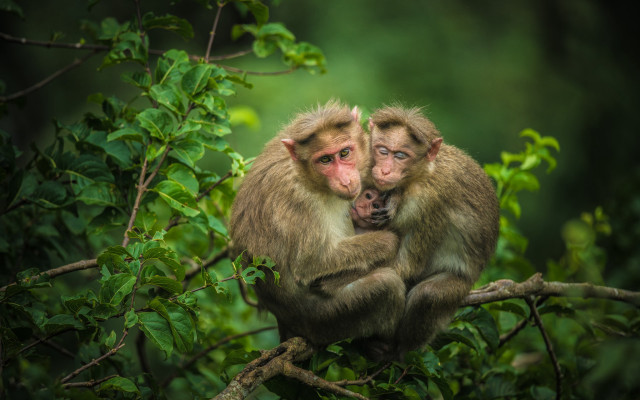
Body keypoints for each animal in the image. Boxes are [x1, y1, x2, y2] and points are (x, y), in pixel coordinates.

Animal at [228, 101, 406, 347]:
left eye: (344, 152)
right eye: (325, 160)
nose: (345, 180)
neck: (307, 176)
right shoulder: (297, 200)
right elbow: (311, 263)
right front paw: (389, 239)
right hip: (326, 319)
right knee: (386, 284)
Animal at [367, 105, 500, 357]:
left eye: (401, 156)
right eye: (383, 151)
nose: (385, 170)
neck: (419, 176)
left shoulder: (430, 203)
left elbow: (405, 267)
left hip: (459, 286)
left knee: (428, 295)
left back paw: (398, 351)